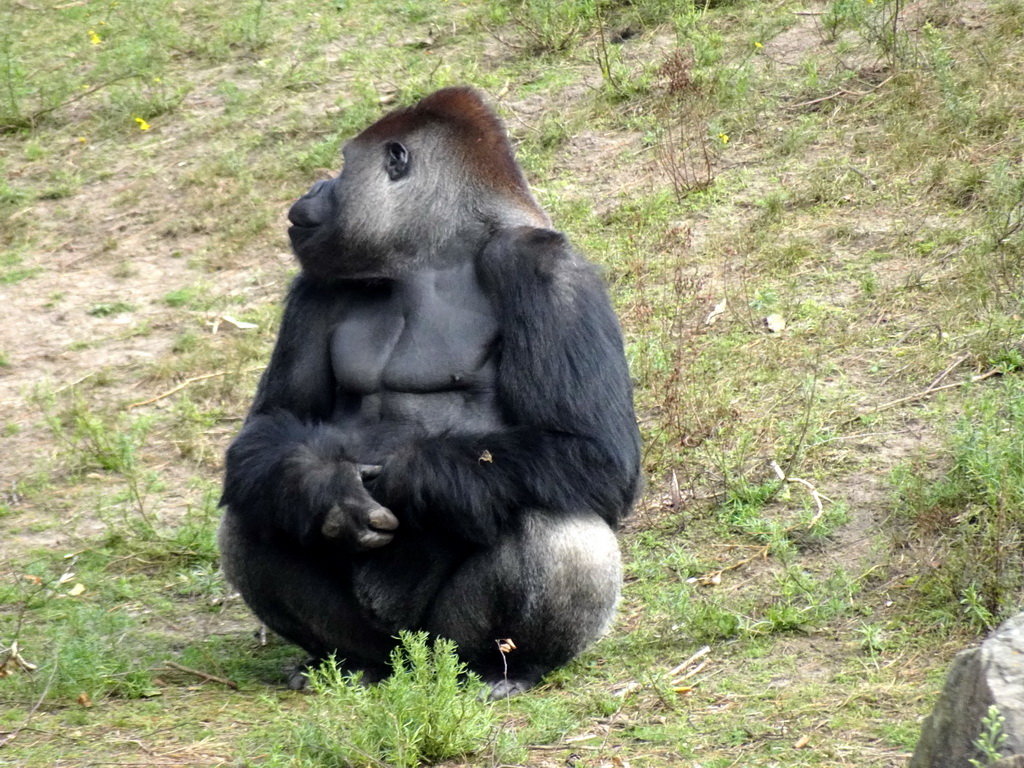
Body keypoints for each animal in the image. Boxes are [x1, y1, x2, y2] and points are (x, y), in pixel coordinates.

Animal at [219, 83, 638, 696]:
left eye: (342, 167)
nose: (315, 186)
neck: (432, 256)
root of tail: (409, 661)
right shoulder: (316, 284)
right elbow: (269, 427)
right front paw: (324, 484)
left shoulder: (547, 268)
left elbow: (595, 452)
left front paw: (414, 474)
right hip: (384, 644)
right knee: (257, 502)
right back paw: (348, 659)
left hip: (444, 644)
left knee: (555, 519)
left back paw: (507, 667)